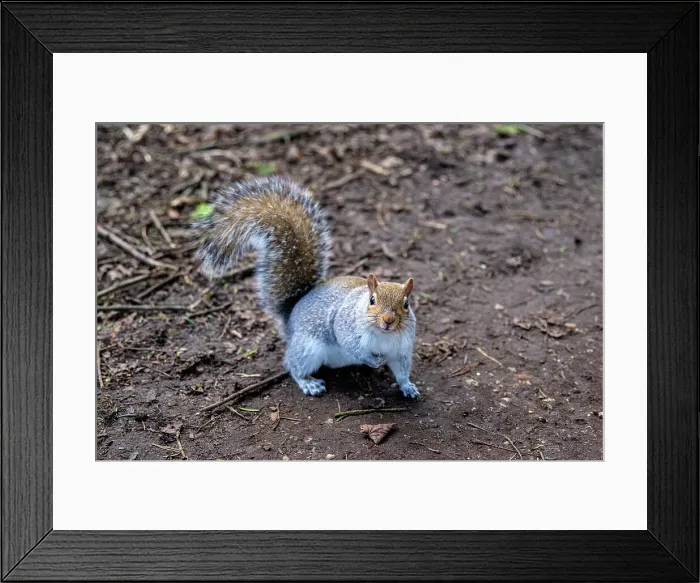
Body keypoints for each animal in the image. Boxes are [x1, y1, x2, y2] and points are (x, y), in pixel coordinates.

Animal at [194, 176, 419, 399]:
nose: (388, 320)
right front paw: (373, 361)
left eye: (406, 304)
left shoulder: (401, 349)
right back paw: (308, 382)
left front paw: (408, 386)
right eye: (372, 300)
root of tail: (290, 321)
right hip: (307, 349)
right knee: (294, 365)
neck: (384, 334)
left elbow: (401, 370)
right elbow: (352, 345)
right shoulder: (346, 326)